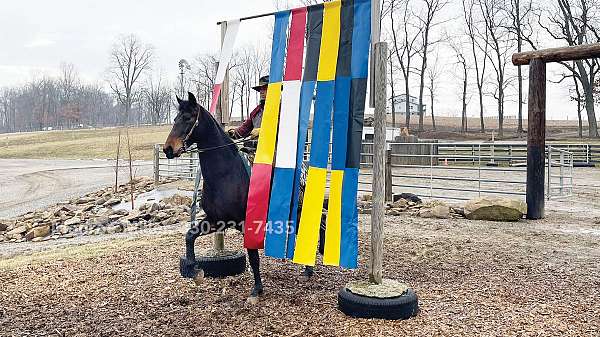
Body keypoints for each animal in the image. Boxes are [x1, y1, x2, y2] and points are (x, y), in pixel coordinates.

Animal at [162, 91, 316, 300]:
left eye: (188, 118)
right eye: (176, 118)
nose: (168, 149)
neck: (226, 176)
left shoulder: (246, 223)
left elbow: (253, 257)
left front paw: (257, 289)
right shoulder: (216, 220)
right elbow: (190, 236)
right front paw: (195, 272)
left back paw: (308, 270)